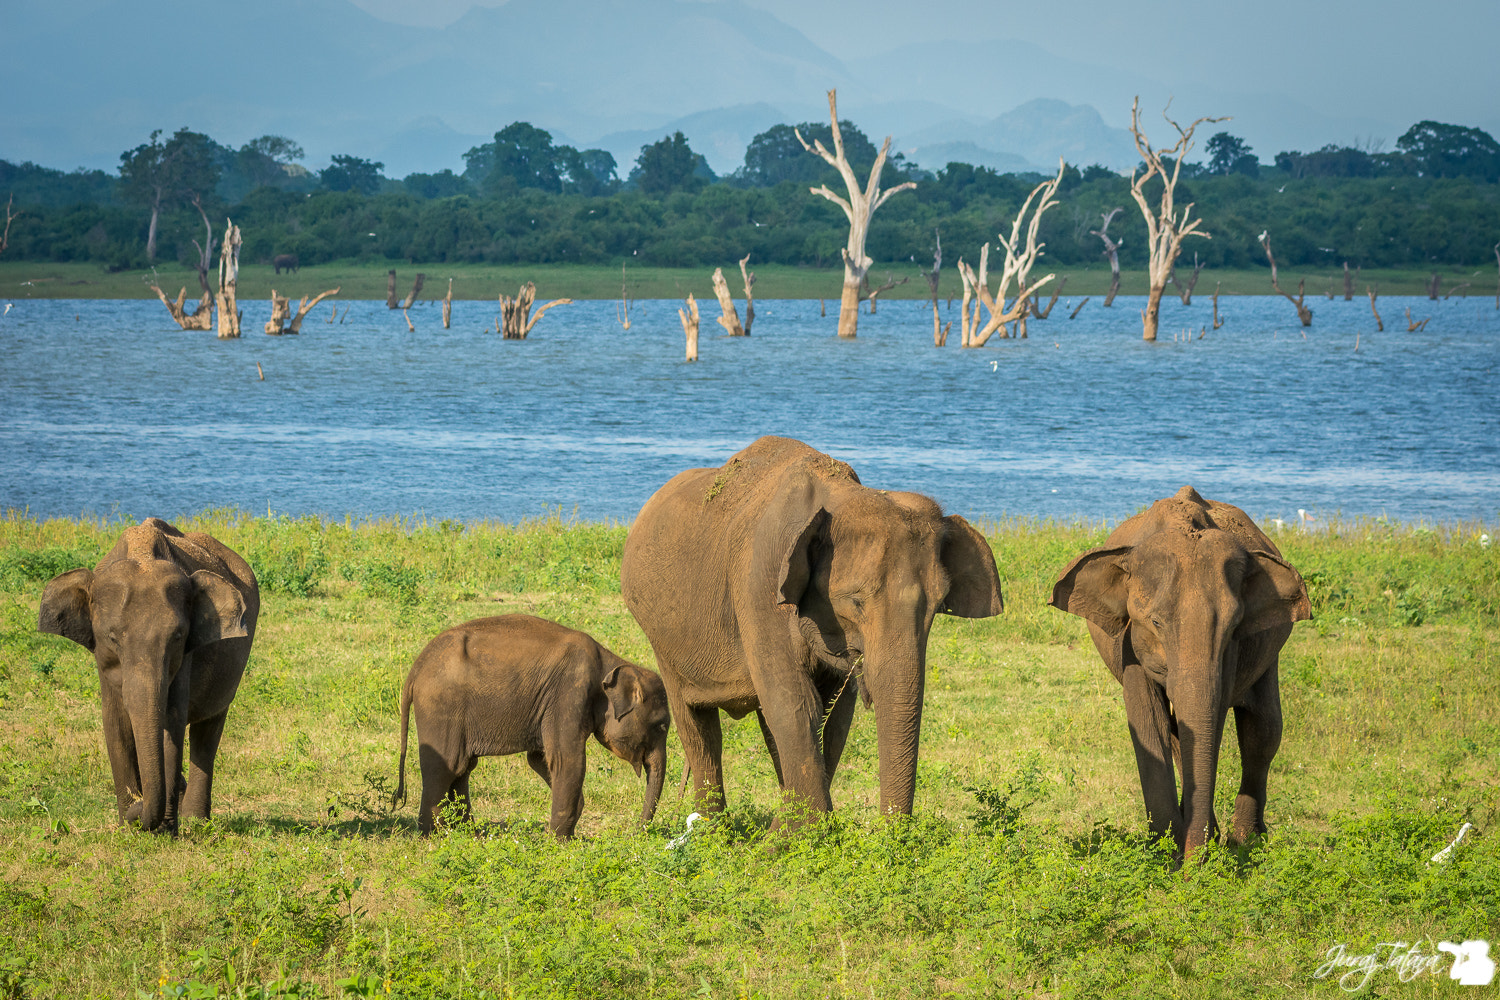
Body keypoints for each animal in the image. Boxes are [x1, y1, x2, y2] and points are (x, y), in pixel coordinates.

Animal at [36, 521, 258, 833]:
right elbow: (115, 723)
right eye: (112, 638)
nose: (137, 807)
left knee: (208, 729)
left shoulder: (184, 658)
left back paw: (195, 821)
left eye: (177, 636)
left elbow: (170, 721)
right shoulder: (103, 662)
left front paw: (164, 830)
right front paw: (128, 827)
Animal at [390, 617, 672, 839]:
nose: (633, 833)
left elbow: (538, 758)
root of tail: (415, 668)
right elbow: (566, 759)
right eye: (661, 726)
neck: (610, 661)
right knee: (445, 767)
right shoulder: (569, 693)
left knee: (462, 768)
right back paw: (433, 836)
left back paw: (467, 834)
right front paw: (561, 841)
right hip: (441, 706)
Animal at [621, 434, 1008, 827]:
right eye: (855, 601)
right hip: (660, 636)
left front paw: (796, 829)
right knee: (697, 726)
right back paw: (713, 831)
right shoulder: (760, 587)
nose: (888, 831)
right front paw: (799, 833)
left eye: (938, 603)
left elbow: (833, 716)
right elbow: (795, 704)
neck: (839, 495)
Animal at [1050, 485, 1308, 863]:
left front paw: (1195, 847)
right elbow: (1149, 723)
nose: (1192, 865)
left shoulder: (1229, 651)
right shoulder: (1129, 642)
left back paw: (1247, 840)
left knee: (1263, 730)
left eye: (1234, 624)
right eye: (1156, 622)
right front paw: (1165, 851)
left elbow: (1214, 721)